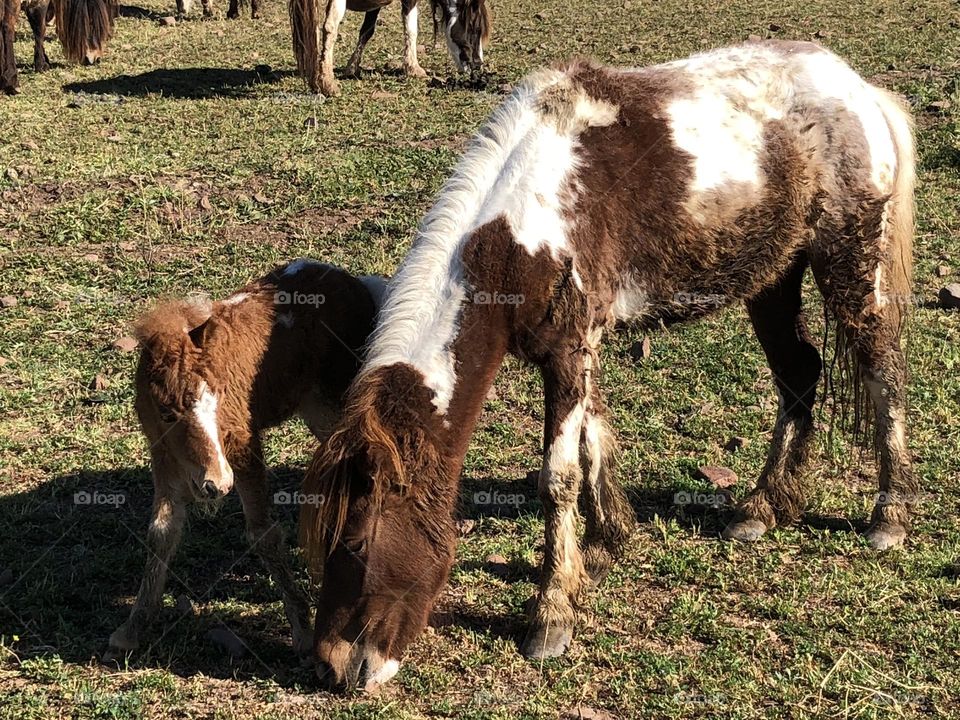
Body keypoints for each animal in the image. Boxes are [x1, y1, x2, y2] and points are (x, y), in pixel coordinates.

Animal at [106, 260, 386, 660]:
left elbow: (263, 534)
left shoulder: (242, 446)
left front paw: (303, 631)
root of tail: (355, 284)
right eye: (166, 412)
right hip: (316, 411)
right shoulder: (165, 460)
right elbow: (161, 533)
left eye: (218, 398)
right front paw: (131, 629)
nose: (217, 484)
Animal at [289, 0, 491, 96]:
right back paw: (328, 83)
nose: (478, 64)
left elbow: (367, 30)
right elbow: (411, 28)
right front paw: (413, 68)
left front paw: (352, 67)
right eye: (475, 28)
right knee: (330, 27)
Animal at [298, 40, 917, 691]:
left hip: (850, 267)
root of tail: (859, 89)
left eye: (357, 543)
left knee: (884, 375)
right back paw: (762, 508)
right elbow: (593, 440)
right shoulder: (581, 347)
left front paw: (552, 614)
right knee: (799, 373)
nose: (333, 664)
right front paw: (602, 543)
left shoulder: (569, 351)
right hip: (772, 277)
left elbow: (558, 477)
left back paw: (889, 517)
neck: (523, 229)